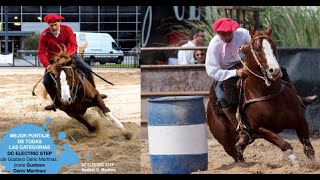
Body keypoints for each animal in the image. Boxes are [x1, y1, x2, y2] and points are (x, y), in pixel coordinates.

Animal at [208, 26, 316, 165]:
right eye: (257, 49)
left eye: (274, 46)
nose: (274, 71)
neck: (270, 96)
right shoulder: (260, 129)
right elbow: (284, 144)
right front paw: (296, 163)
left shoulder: (300, 121)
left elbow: (309, 149)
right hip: (227, 143)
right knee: (236, 154)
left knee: (239, 149)